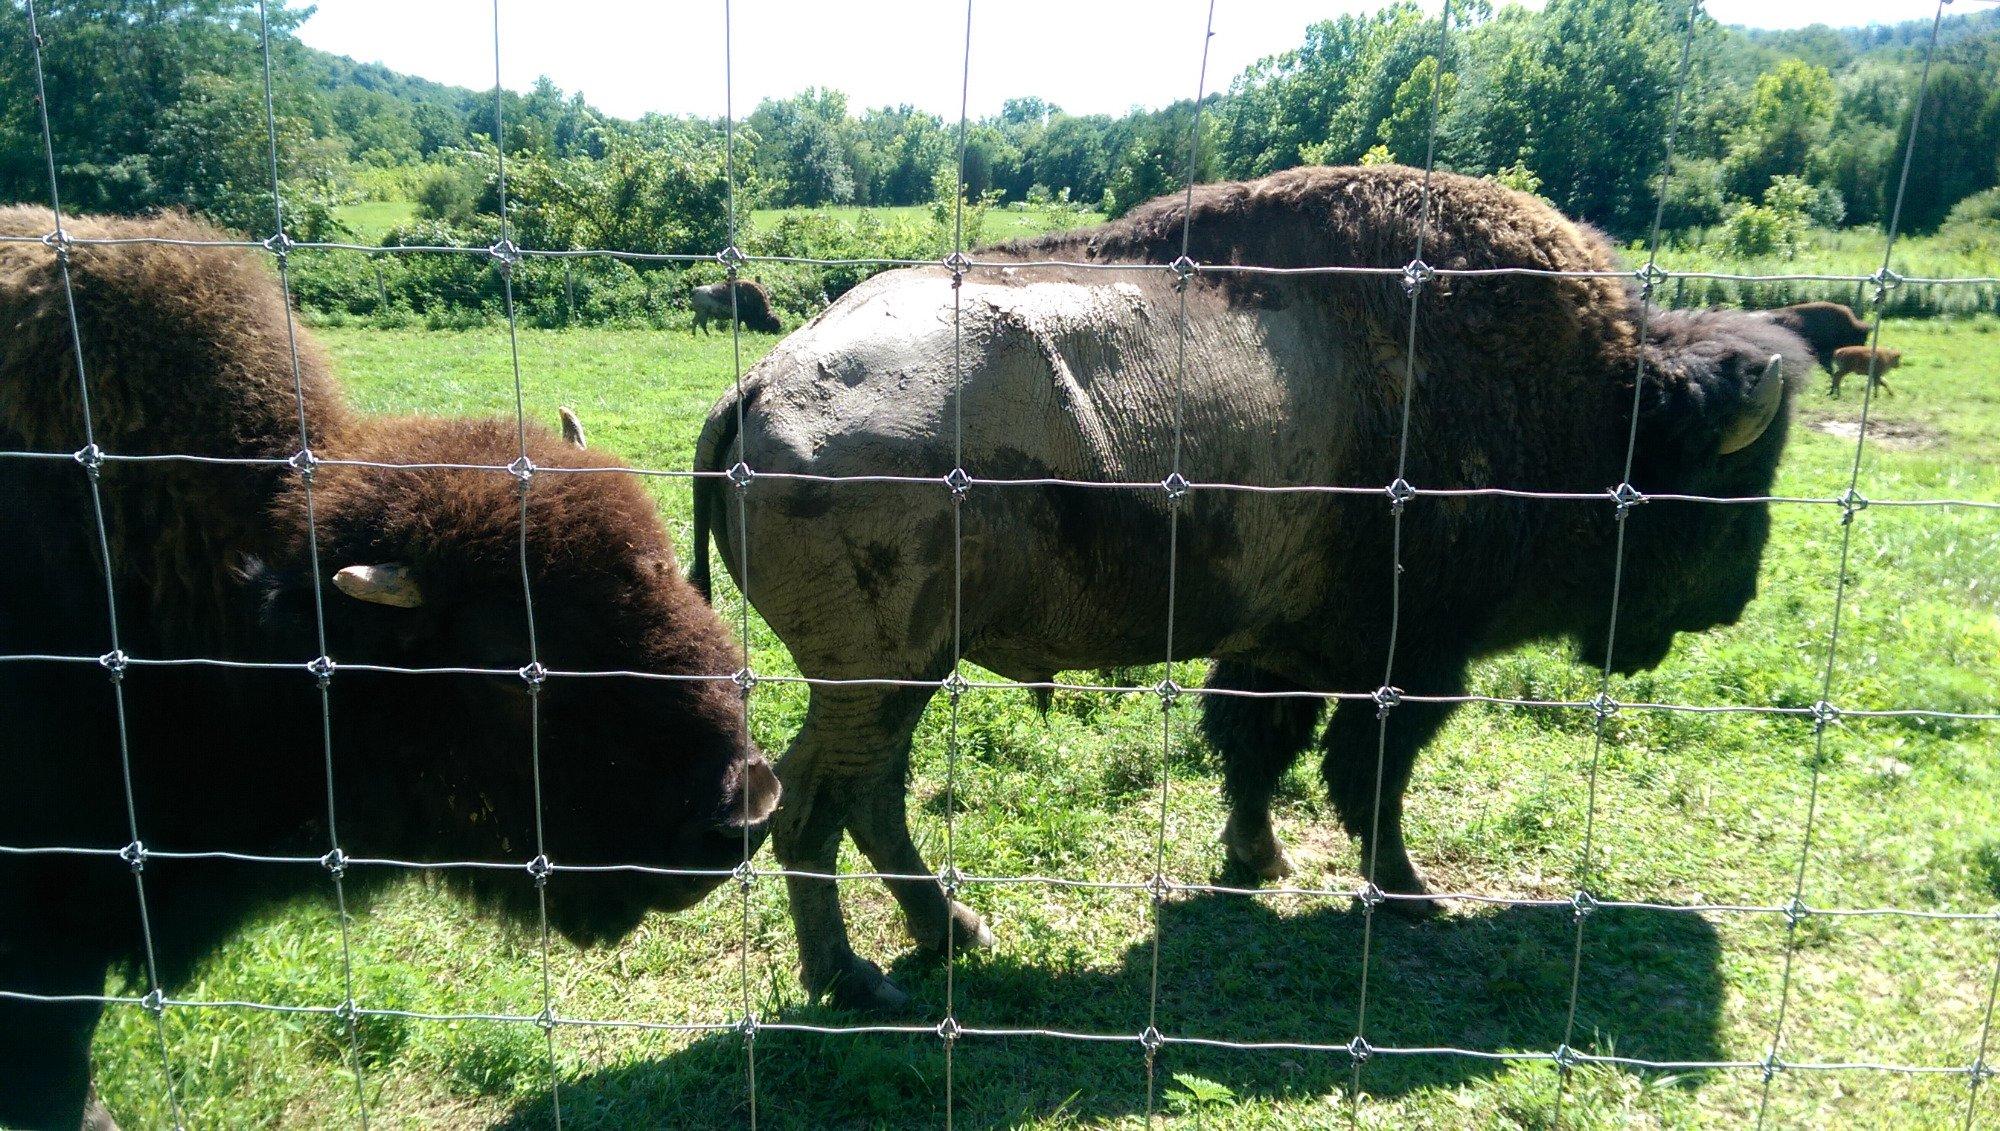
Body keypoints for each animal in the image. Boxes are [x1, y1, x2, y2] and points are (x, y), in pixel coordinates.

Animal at [692, 163, 1856, 1015]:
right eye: (1730, 480)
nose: (1732, 599)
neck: (1596, 402)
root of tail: (756, 383)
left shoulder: (1275, 649)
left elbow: (1259, 749)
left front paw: (1254, 862)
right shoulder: (1413, 665)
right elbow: (1365, 774)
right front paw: (1410, 896)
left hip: (902, 676)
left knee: (867, 799)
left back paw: (952, 937)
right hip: (878, 675)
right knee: (816, 807)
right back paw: (857, 980)